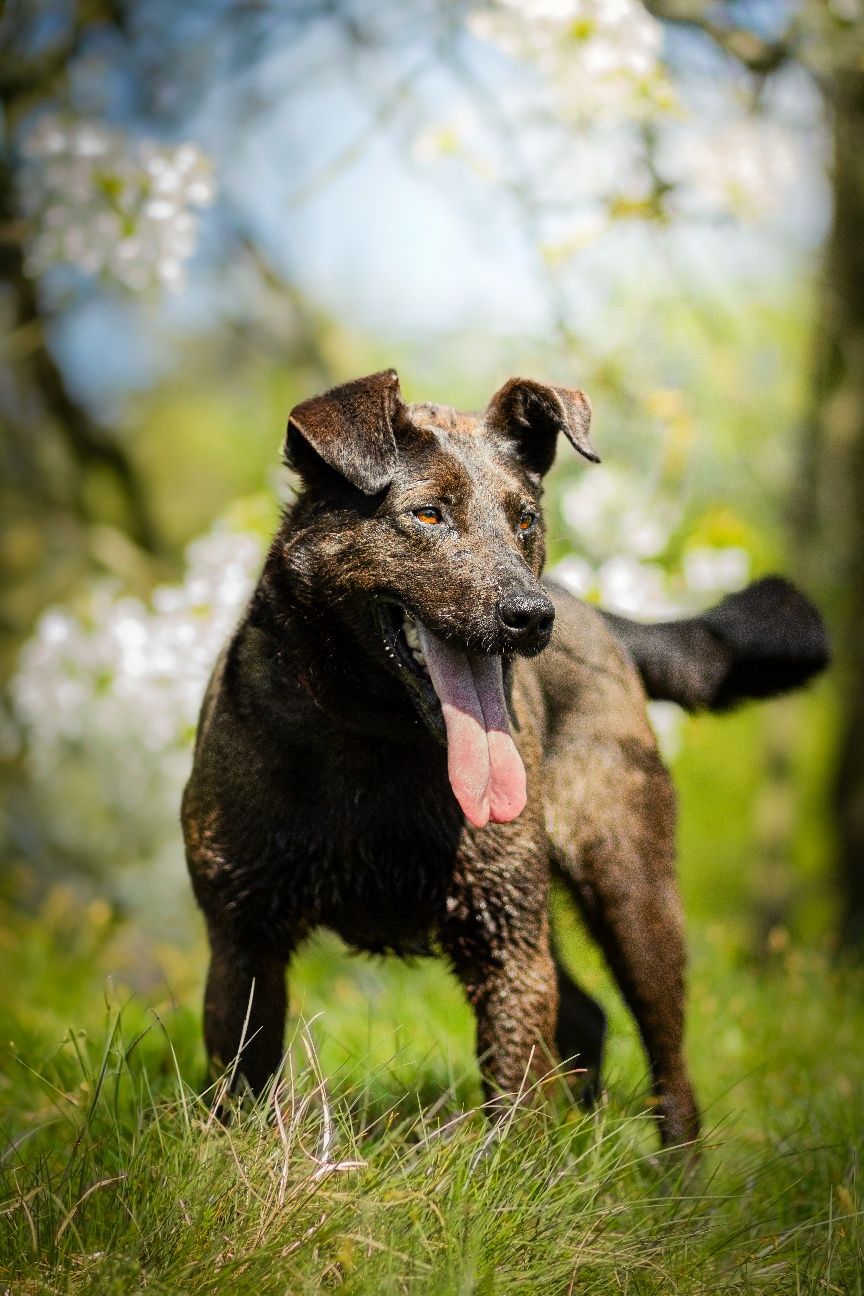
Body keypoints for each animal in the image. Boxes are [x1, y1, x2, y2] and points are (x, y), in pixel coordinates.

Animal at [183, 370, 829, 1150]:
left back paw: (673, 1179)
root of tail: (596, 619)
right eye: (428, 515)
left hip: (630, 896)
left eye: (524, 522)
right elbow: (243, 1083)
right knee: (586, 1017)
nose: (530, 617)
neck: (375, 739)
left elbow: (516, 1102)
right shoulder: (244, 939)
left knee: (670, 1074)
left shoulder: (507, 950)